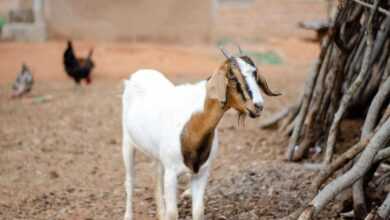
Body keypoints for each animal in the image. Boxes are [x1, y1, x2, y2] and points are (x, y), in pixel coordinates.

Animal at [122, 46, 280, 220]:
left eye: (255, 74)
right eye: (233, 77)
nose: (258, 106)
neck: (191, 125)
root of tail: (138, 74)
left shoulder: (202, 173)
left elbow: (198, 211)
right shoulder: (171, 174)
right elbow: (173, 213)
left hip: (157, 155)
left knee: (156, 175)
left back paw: (160, 213)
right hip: (127, 142)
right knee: (130, 181)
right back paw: (128, 215)